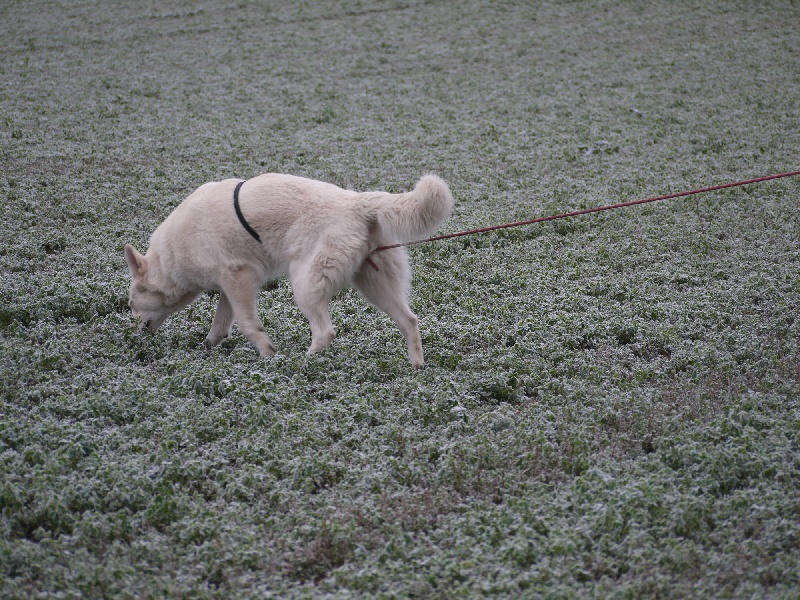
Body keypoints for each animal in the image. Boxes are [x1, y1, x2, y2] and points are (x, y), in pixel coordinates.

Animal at [123, 175, 450, 366]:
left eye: (130, 304)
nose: (134, 333)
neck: (169, 258)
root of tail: (357, 202)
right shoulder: (230, 287)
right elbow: (221, 324)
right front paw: (207, 346)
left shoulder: (239, 278)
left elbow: (248, 324)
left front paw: (268, 354)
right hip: (376, 285)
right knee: (410, 321)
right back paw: (416, 366)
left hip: (305, 284)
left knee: (326, 331)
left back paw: (302, 363)